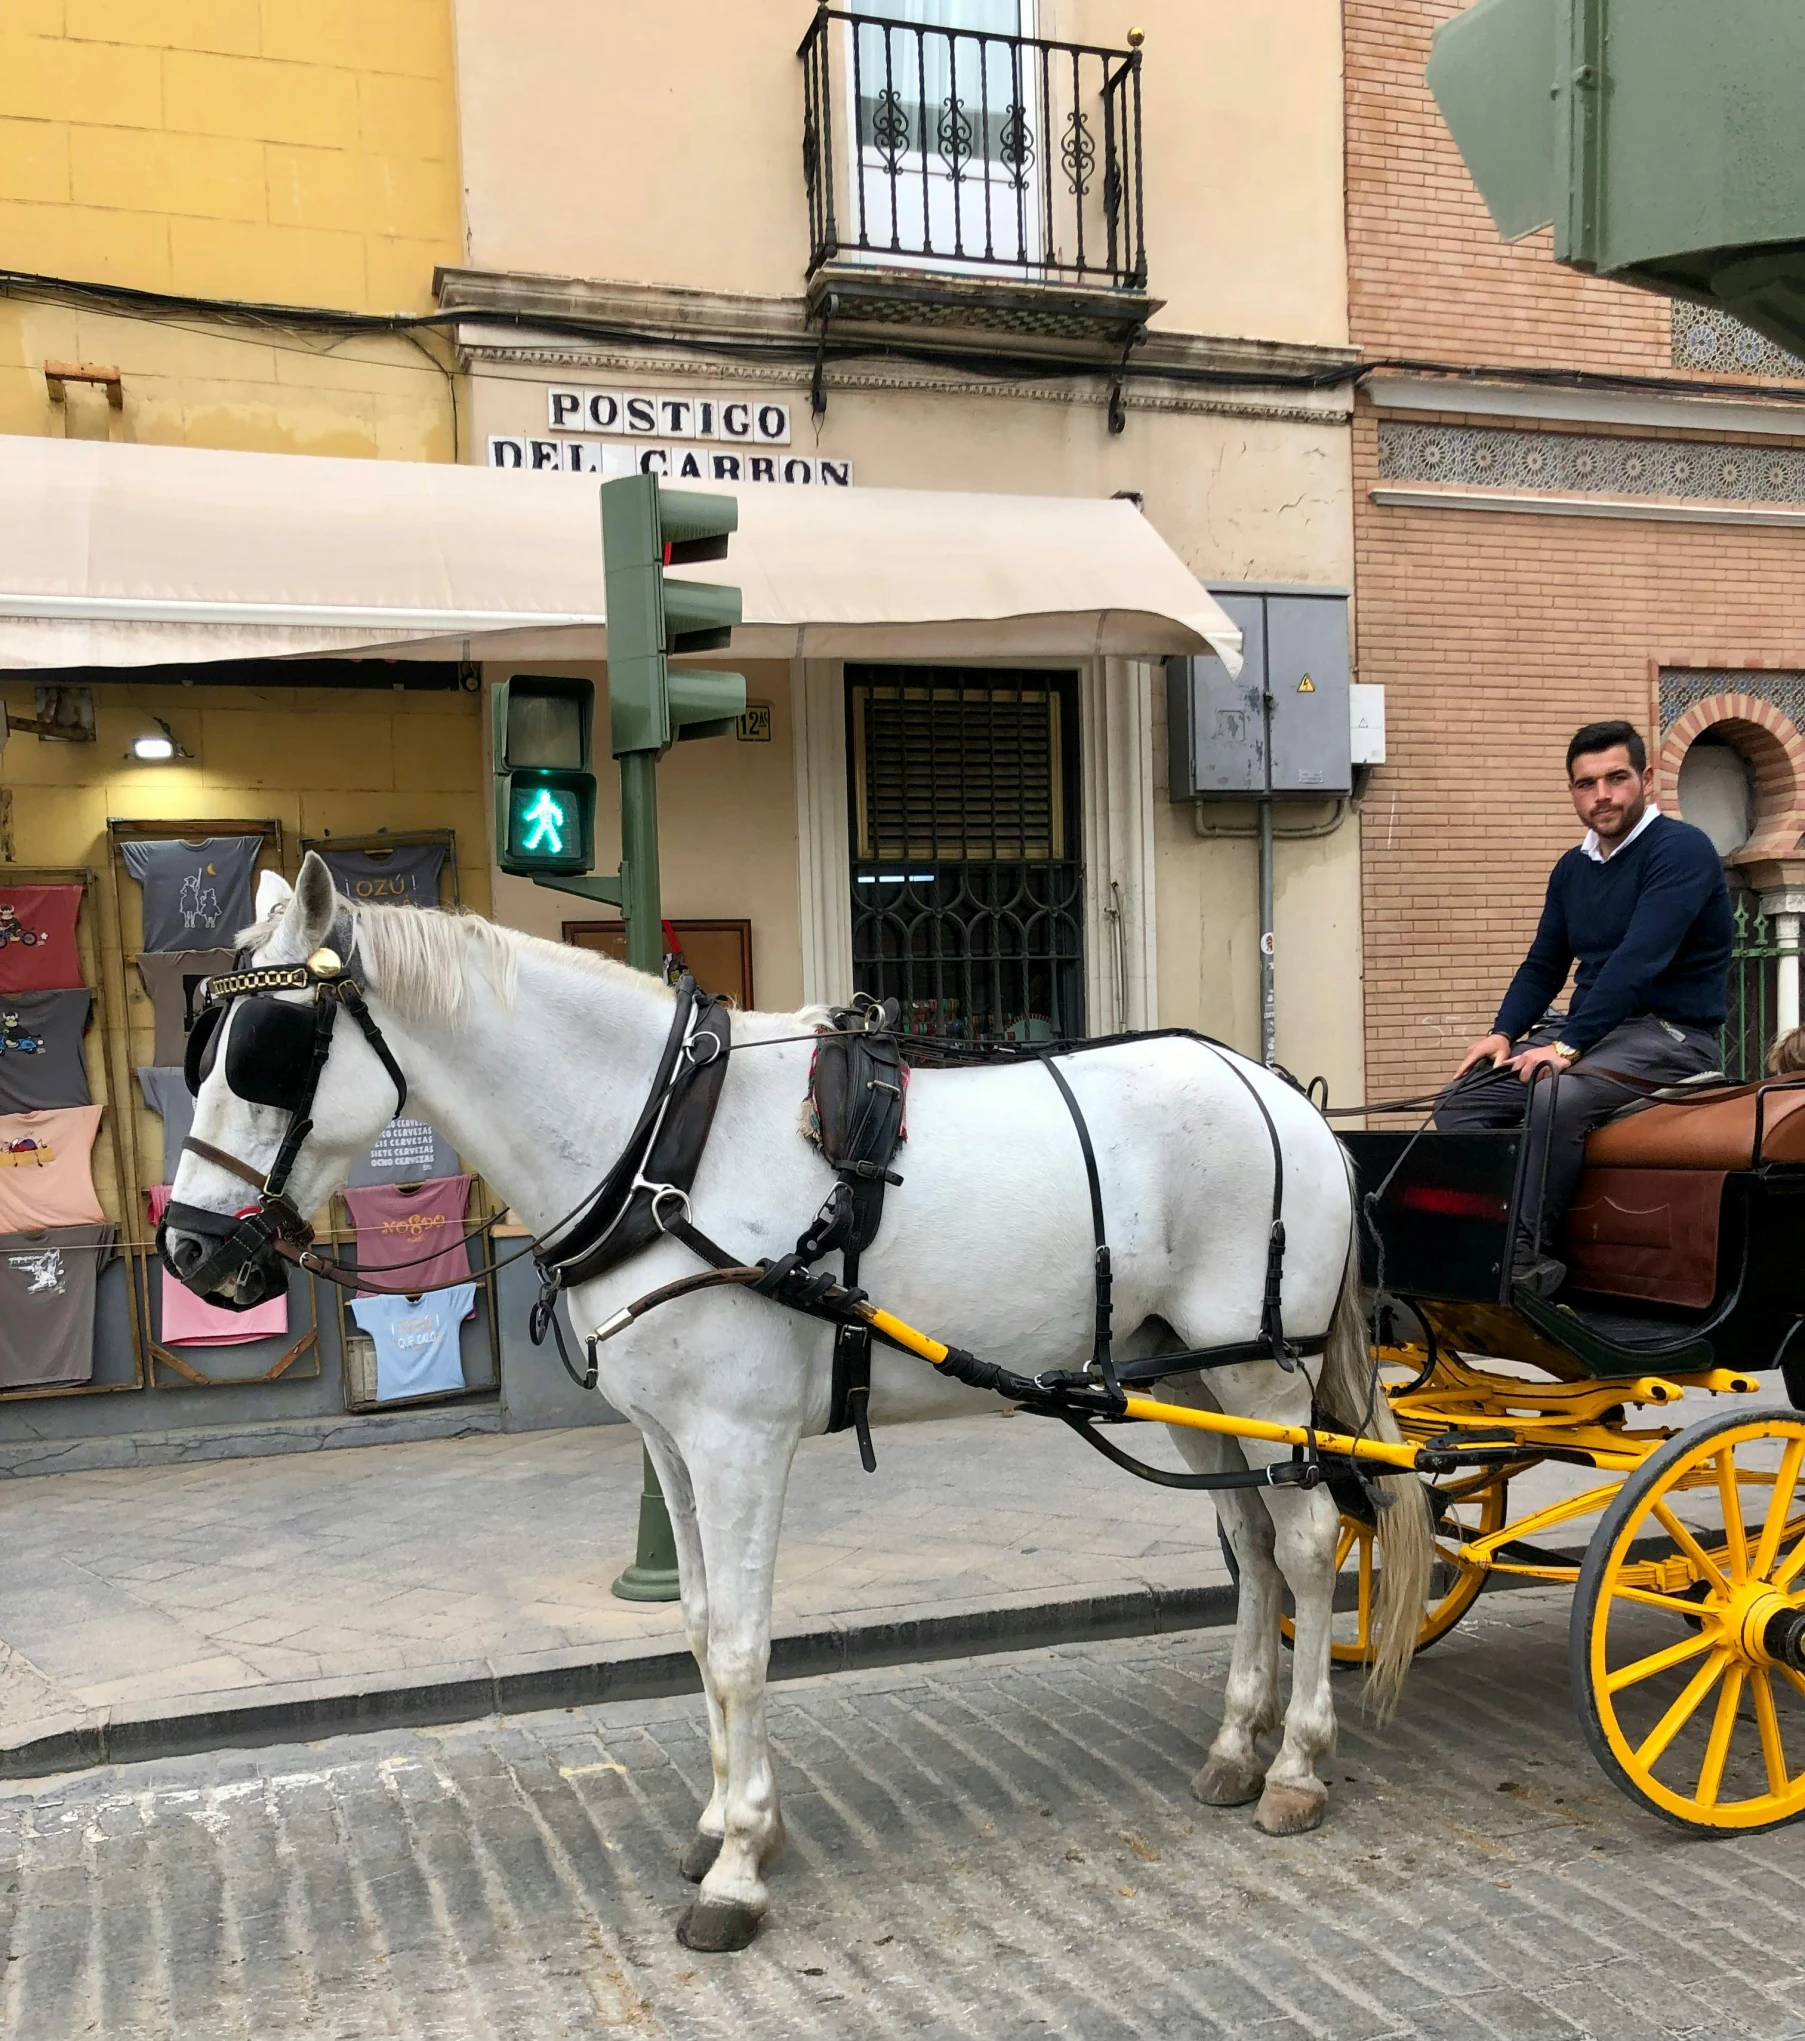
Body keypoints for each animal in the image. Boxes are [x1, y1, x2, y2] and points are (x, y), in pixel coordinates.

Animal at [172, 853, 1437, 1951]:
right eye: (205, 1046)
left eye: (271, 1052)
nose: (188, 1250)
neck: (659, 1146)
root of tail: (1283, 1094)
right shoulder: (669, 1443)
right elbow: (694, 1623)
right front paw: (720, 1824)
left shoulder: (738, 1443)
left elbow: (739, 1643)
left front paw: (737, 1866)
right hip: (1182, 1367)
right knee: (1250, 1543)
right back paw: (1234, 1744)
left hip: (1263, 1369)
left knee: (1309, 1539)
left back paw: (1295, 1763)